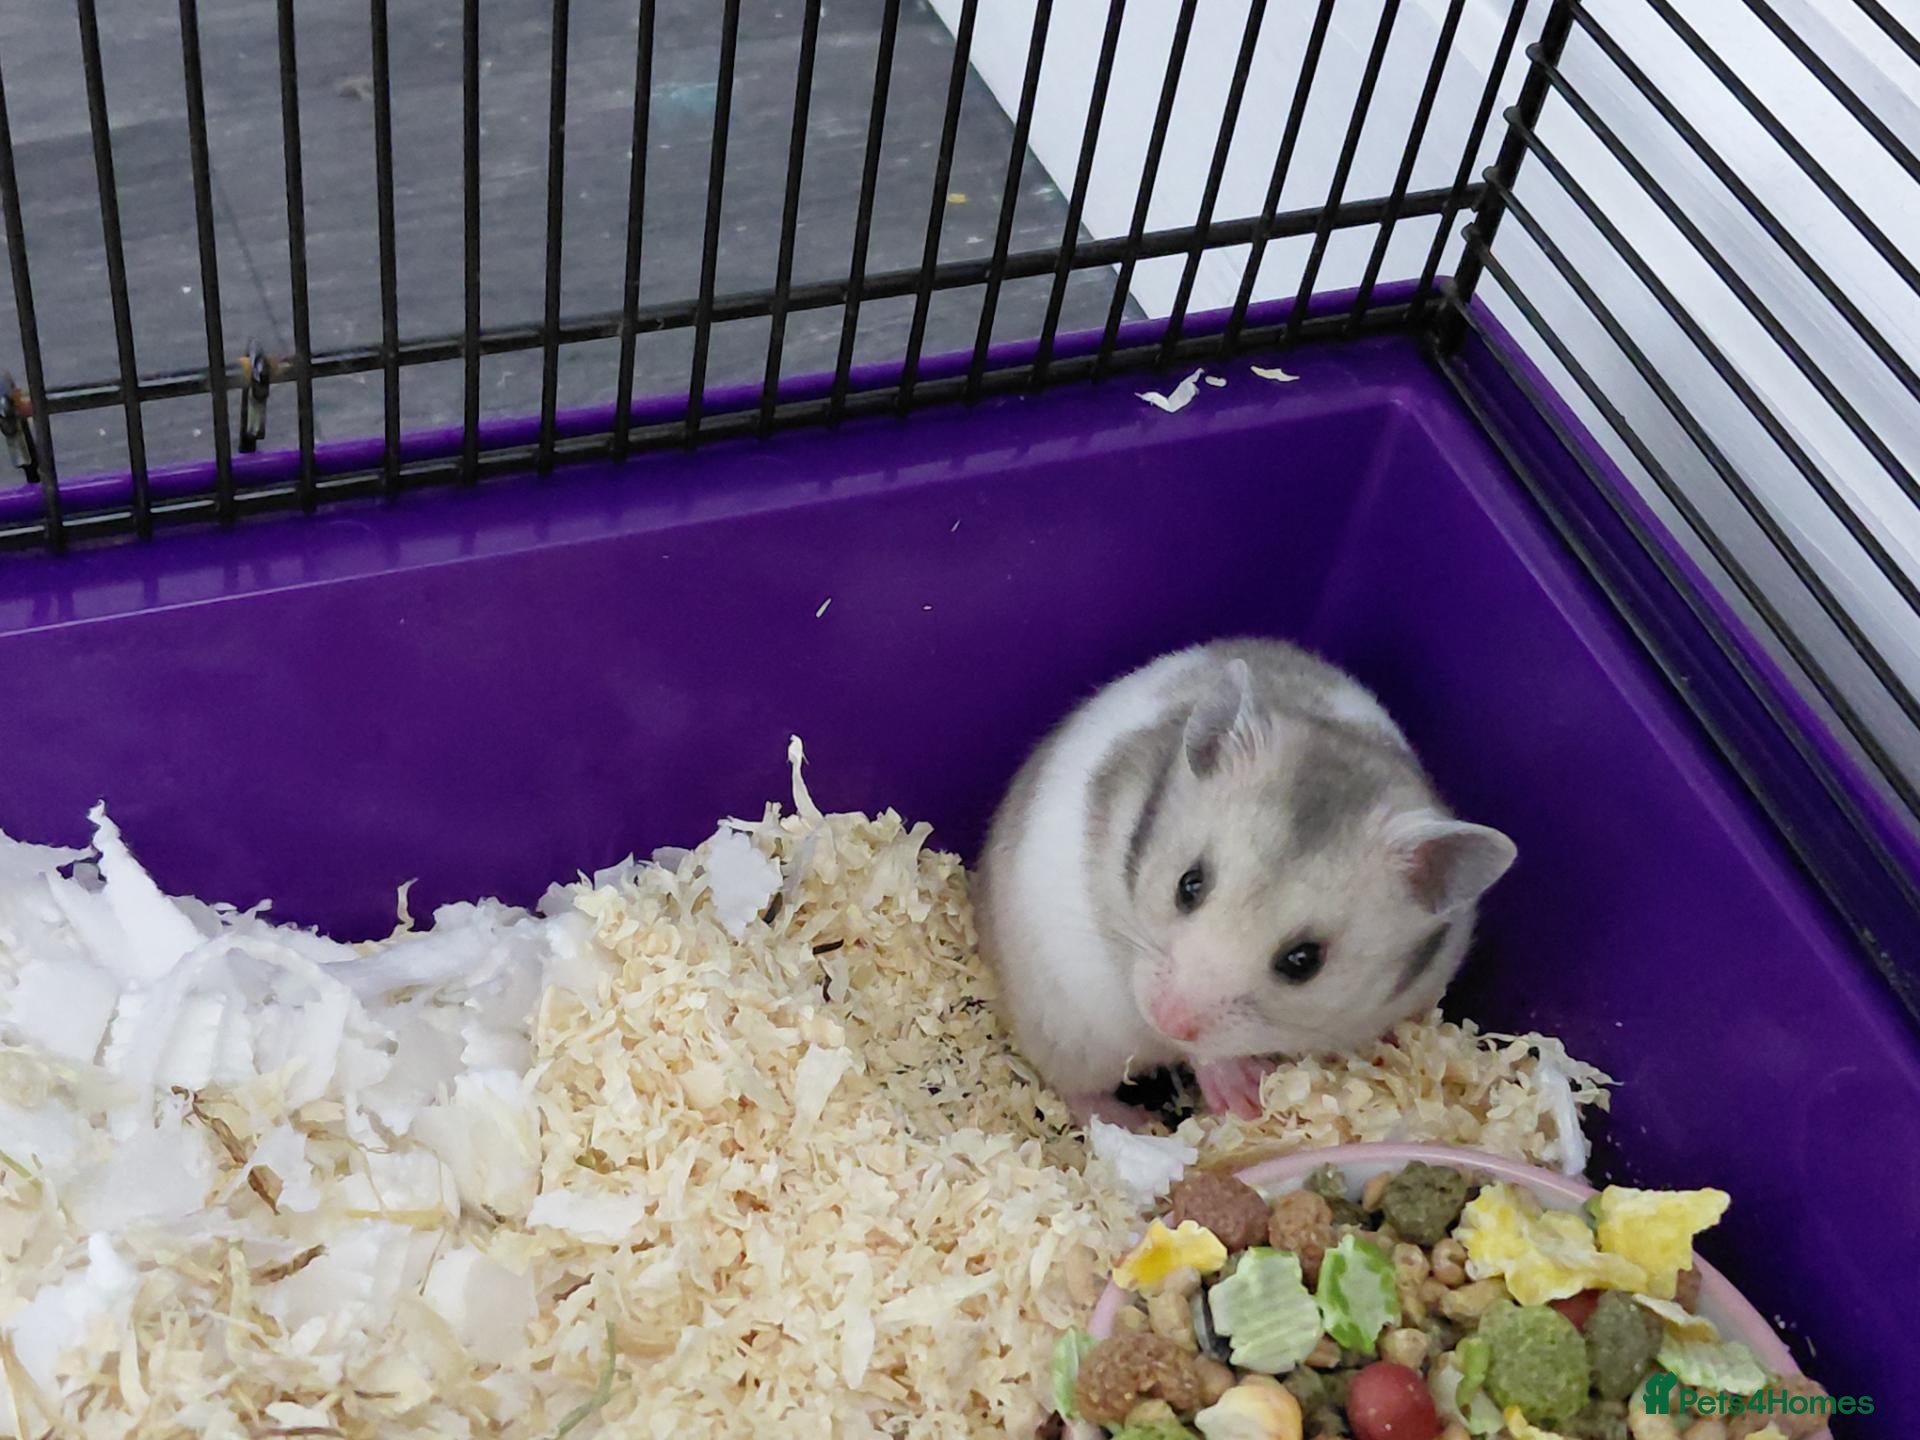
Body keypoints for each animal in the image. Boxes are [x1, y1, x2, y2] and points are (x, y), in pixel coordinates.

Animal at [973, 638, 1516, 1127]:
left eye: (1303, 961)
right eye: (1189, 885)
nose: (1167, 1017)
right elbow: (1195, 1048)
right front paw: (1246, 1098)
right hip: (1067, 1033)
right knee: (1073, 1090)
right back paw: (1133, 1123)